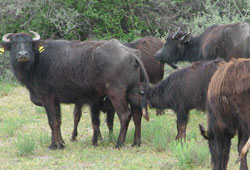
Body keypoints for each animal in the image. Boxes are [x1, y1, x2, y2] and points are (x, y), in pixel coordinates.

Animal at [0, 31, 148, 149]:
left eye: (29, 43)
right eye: (13, 44)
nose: (22, 54)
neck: (37, 63)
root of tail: (131, 52)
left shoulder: (47, 98)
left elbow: (52, 121)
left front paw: (54, 145)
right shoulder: (56, 101)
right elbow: (58, 121)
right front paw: (60, 143)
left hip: (116, 94)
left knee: (125, 115)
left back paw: (119, 143)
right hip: (133, 92)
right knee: (137, 115)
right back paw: (136, 142)